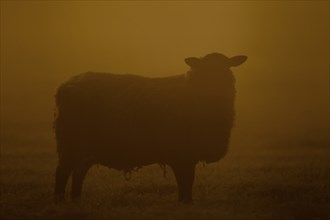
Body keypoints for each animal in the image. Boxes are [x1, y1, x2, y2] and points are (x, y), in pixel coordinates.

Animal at [52, 52, 246, 203]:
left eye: (226, 66)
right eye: (205, 69)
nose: (216, 85)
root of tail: (64, 86)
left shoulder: (188, 154)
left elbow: (187, 180)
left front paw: (186, 201)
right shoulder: (180, 153)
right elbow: (185, 180)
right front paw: (185, 202)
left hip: (85, 149)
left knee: (79, 172)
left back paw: (76, 199)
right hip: (69, 142)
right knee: (62, 172)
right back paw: (60, 200)